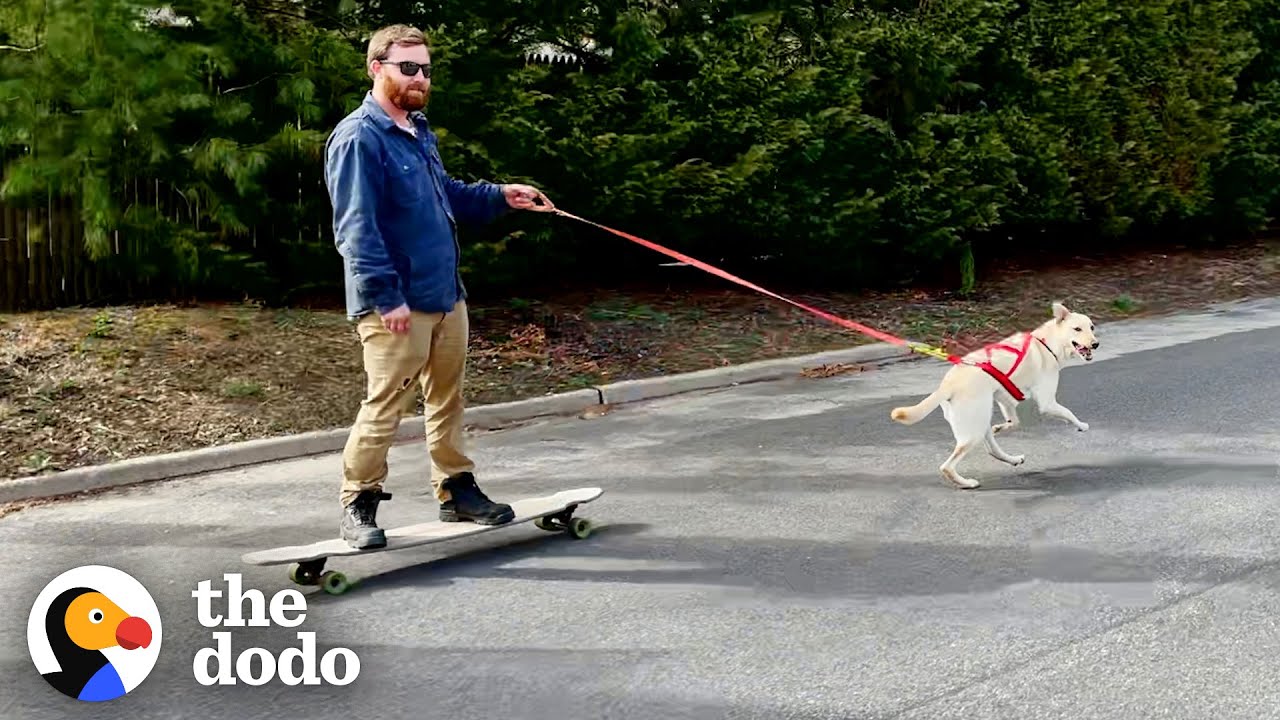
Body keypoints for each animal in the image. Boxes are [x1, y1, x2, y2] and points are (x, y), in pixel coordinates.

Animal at [890, 302, 1100, 486]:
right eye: (1077, 329)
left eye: (1091, 327)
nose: (1096, 344)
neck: (1046, 344)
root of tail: (947, 386)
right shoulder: (1047, 403)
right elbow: (1068, 413)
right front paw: (1082, 425)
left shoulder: (1005, 397)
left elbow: (1014, 422)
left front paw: (1000, 427)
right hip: (973, 432)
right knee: (947, 467)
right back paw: (967, 483)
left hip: (980, 421)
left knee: (992, 449)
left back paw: (1012, 459)